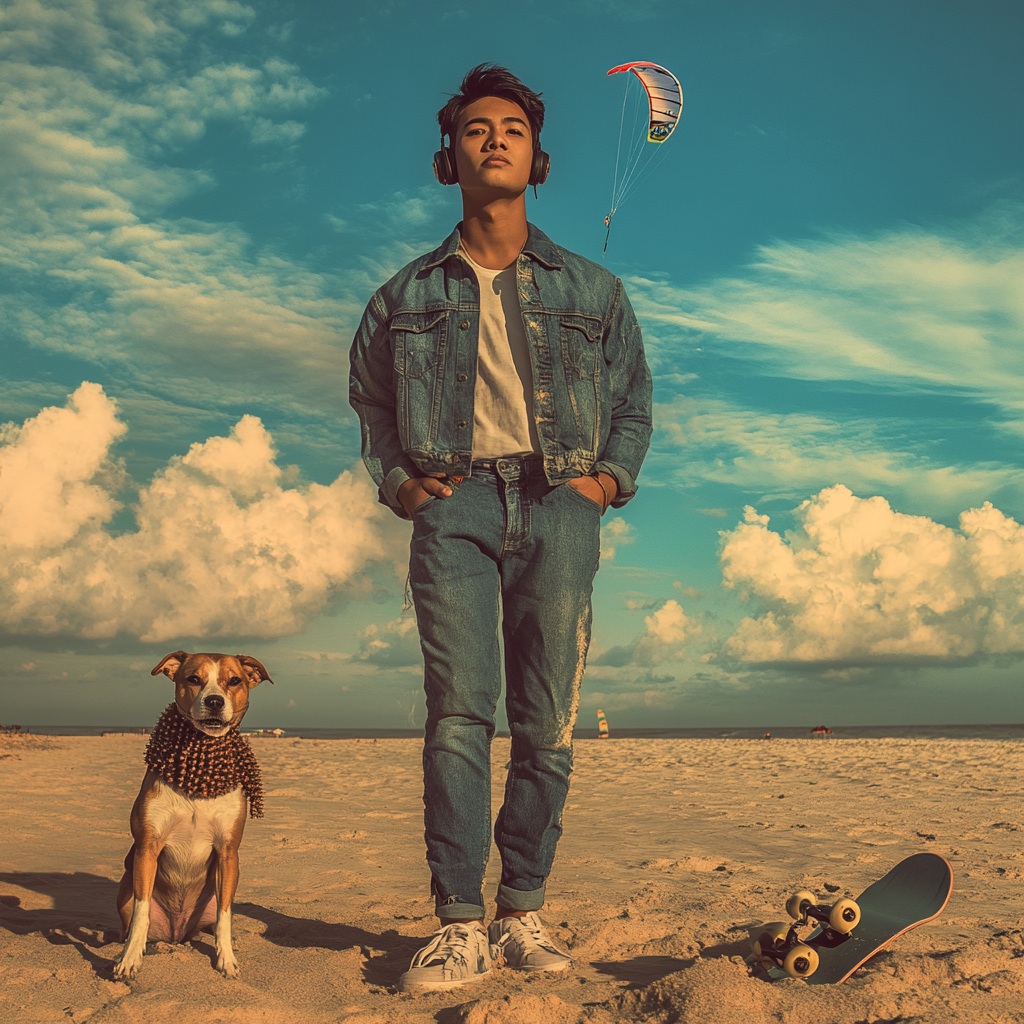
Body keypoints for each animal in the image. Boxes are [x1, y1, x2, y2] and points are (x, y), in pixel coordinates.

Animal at [113, 651, 272, 978]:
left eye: (234, 681)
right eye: (193, 679)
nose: (214, 701)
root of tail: (177, 933)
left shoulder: (228, 851)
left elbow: (225, 915)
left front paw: (226, 959)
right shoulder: (147, 847)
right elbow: (141, 913)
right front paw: (130, 958)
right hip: (124, 892)